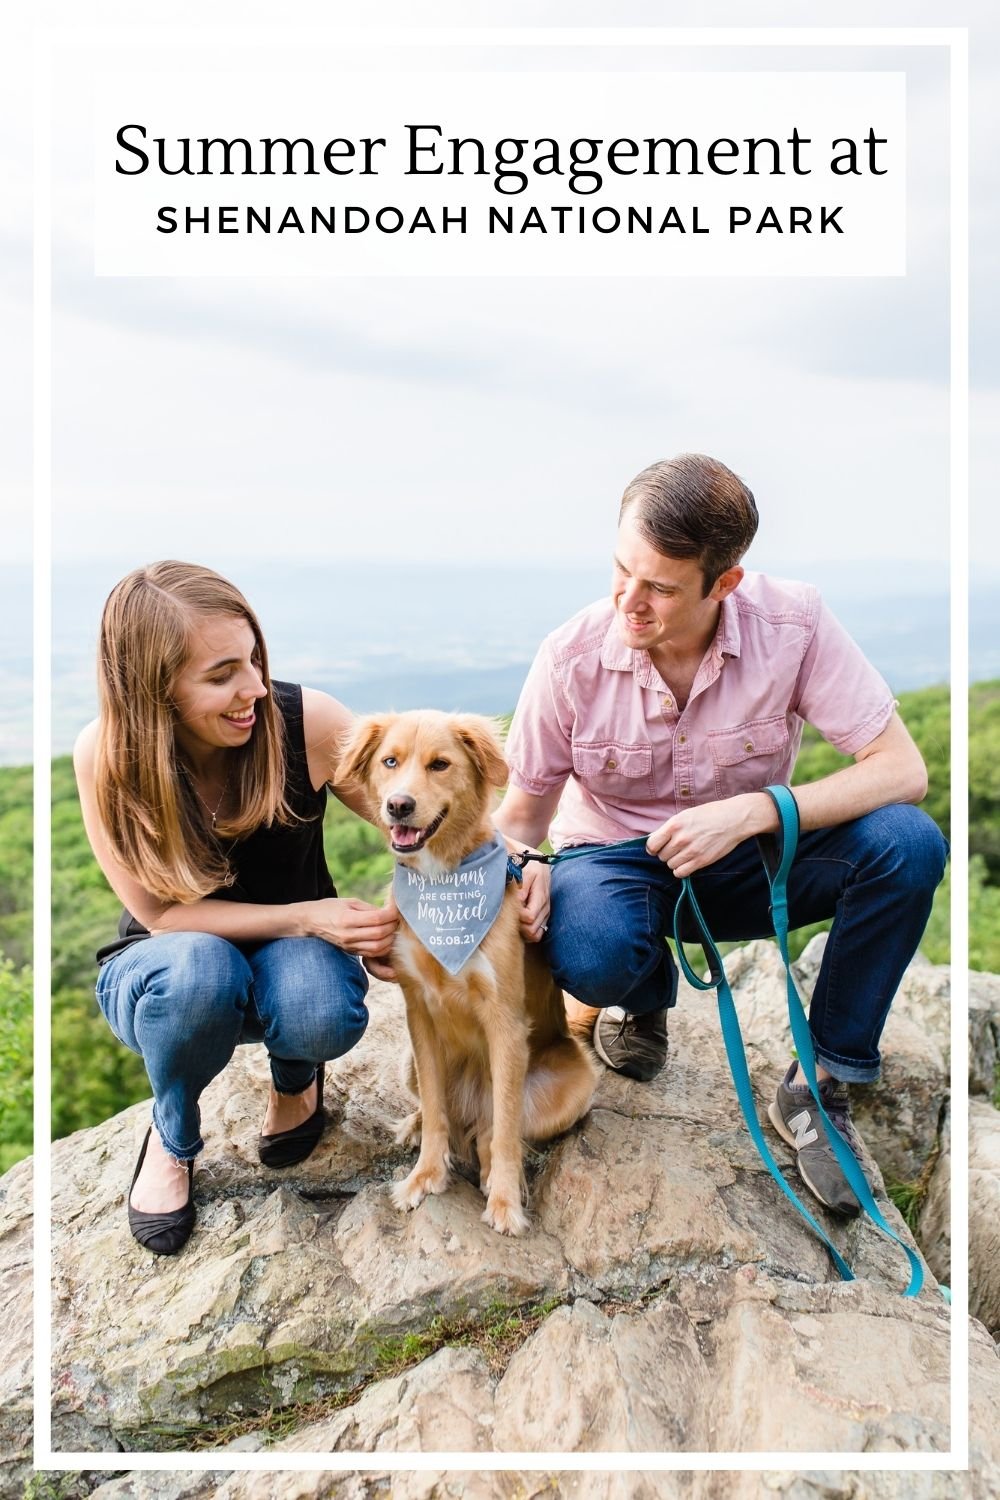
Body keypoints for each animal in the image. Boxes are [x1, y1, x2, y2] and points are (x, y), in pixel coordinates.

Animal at [340, 708, 599, 1236]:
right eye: (390, 761)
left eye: (440, 764)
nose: (399, 806)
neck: (444, 883)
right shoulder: (418, 1012)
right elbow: (437, 1111)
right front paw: (425, 1175)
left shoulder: (504, 1019)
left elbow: (504, 1129)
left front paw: (504, 1202)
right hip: (409, 1063)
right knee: (442, 1111)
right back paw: (415, 1127)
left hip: (574, 1084)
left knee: (490, 1129)